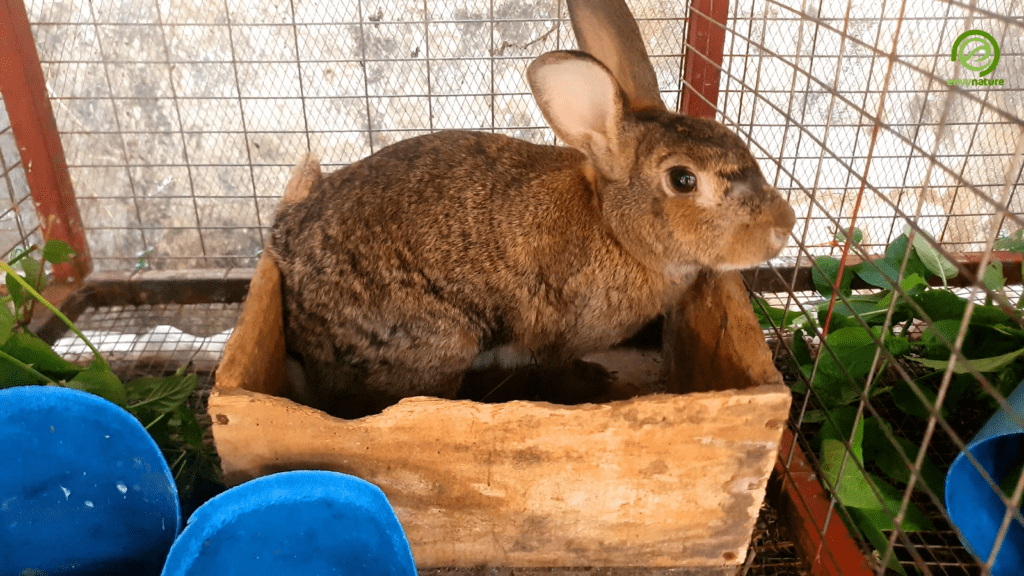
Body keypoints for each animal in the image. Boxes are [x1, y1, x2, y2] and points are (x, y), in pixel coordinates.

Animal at [268, 0, 794, 414]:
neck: (613, 227)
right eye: (684, 180)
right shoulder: (560, 334)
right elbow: (557, 368)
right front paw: (592, 386)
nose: (783, 225)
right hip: (439, 342)